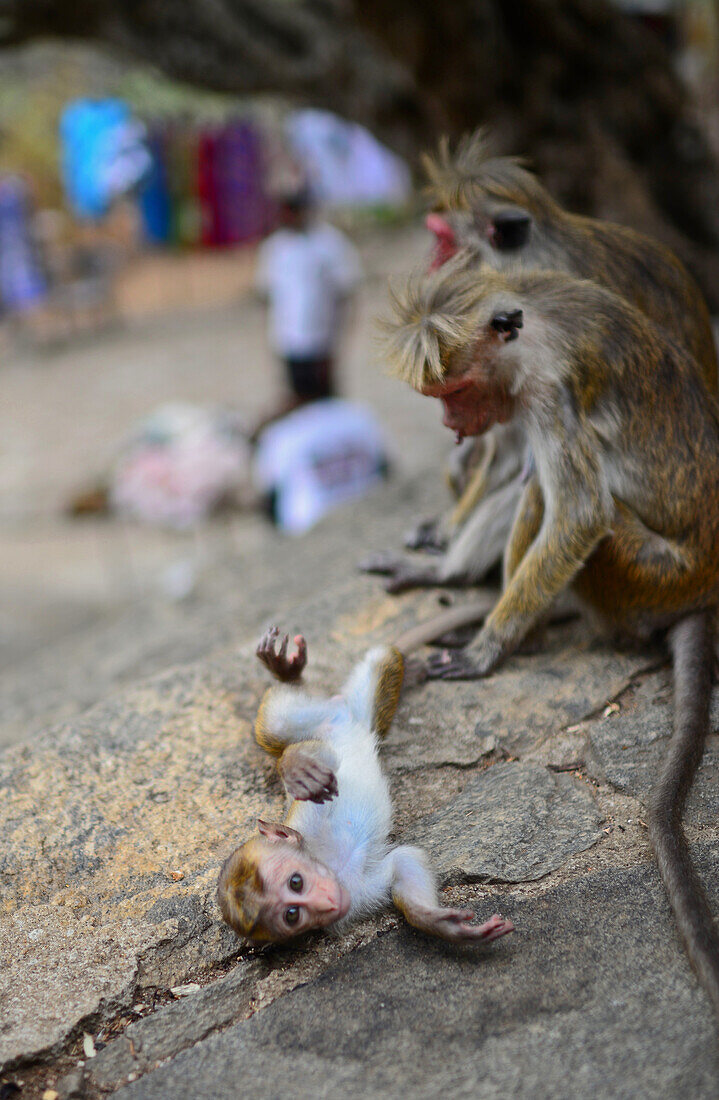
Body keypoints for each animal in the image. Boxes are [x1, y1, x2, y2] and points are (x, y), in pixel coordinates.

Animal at [216, 629, 514, 946]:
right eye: (292, 915)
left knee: (280, 728)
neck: (332, 867)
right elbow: (401, 865)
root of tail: (341, 709)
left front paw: (295, 767)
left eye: (296, 882)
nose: (326, 903)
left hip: (317, 716)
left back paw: (287, 675)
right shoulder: (355, 895)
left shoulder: (310, 825)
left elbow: (327, 759)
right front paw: (441, 923)